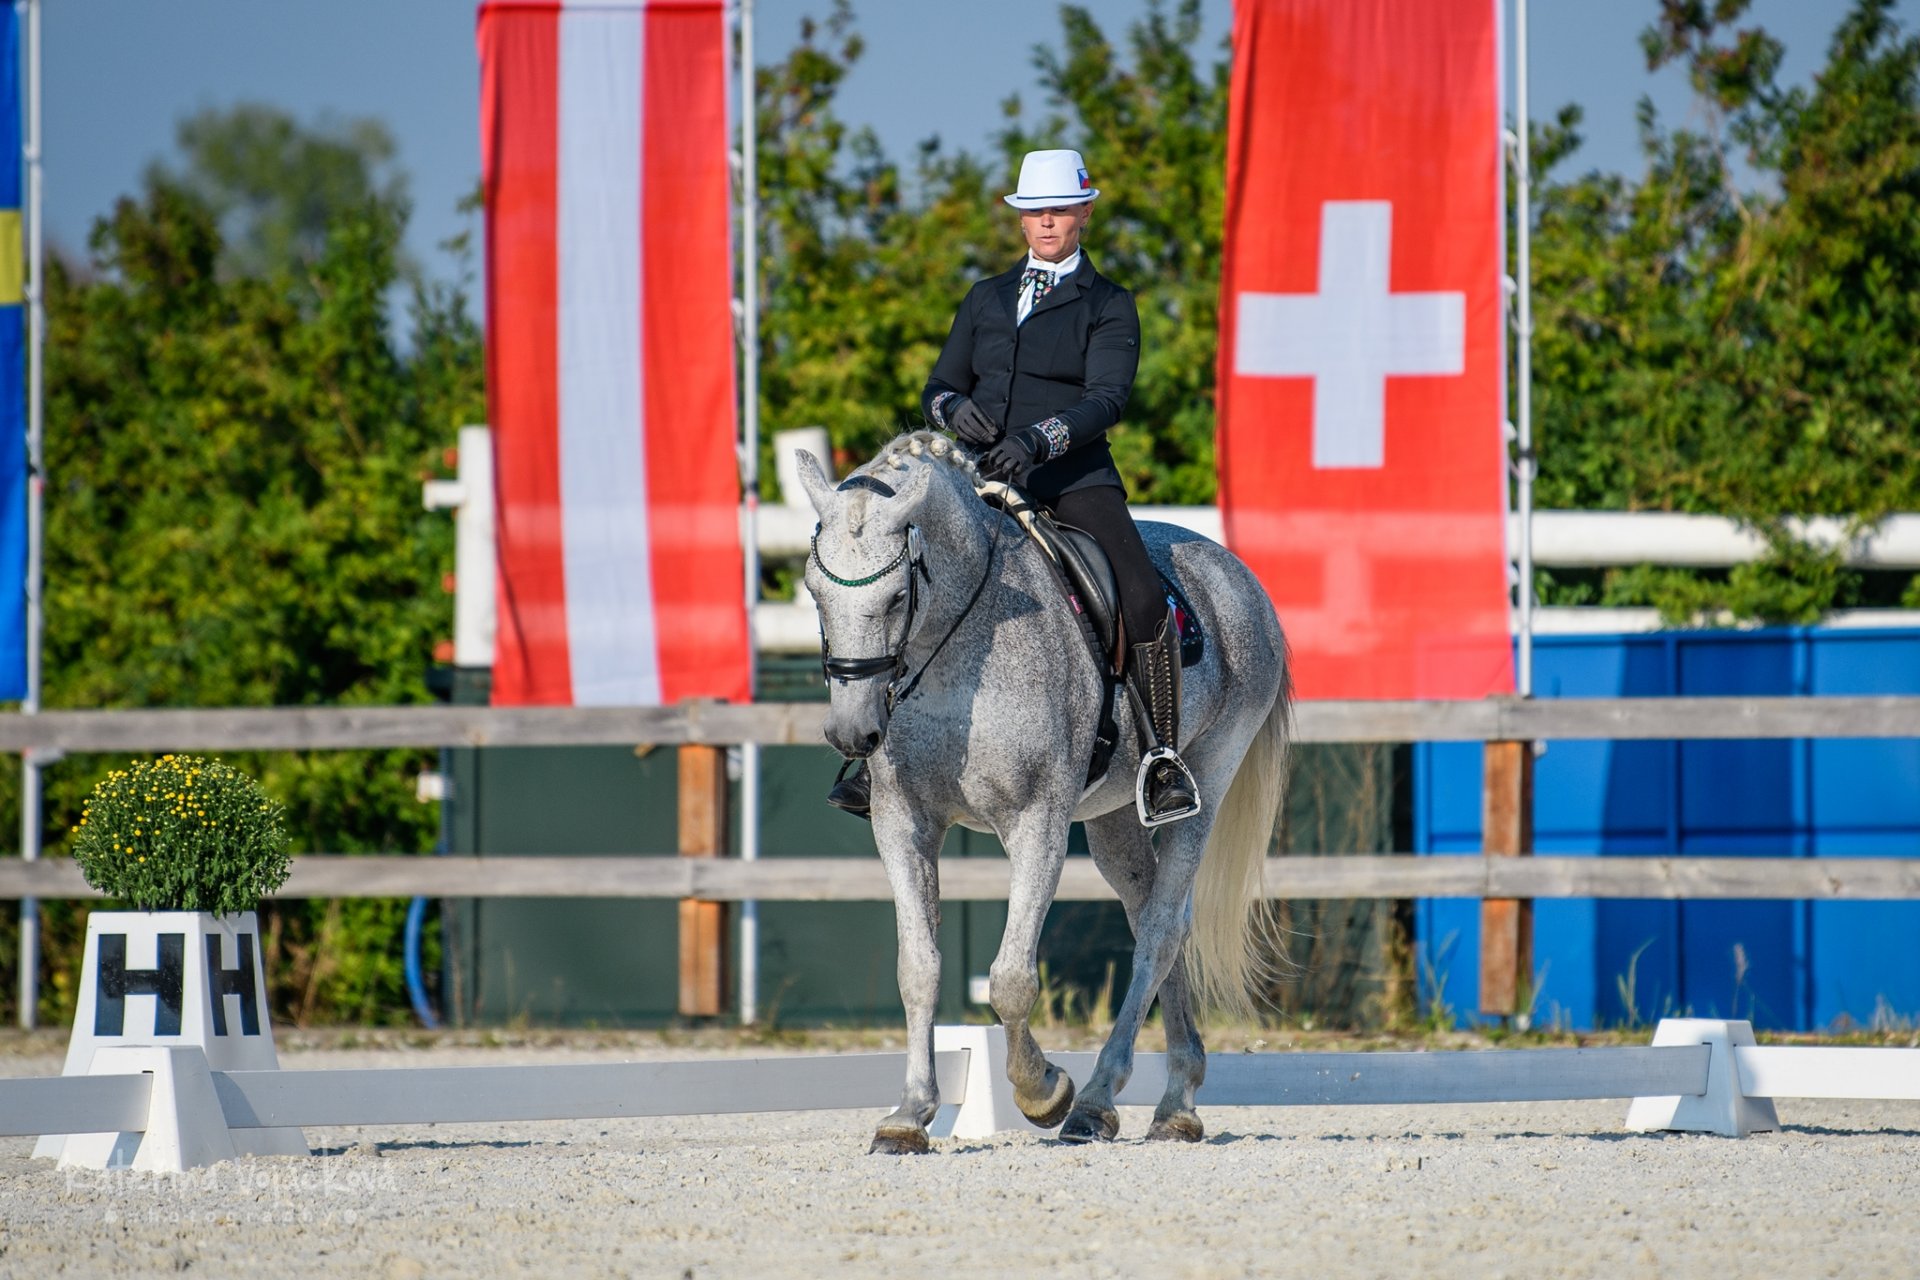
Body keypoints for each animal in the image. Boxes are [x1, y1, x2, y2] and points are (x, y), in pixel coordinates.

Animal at [794, 429, 1290, 1151]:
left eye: (893, 599)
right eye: (814, 591)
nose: (853, 732)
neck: (957, 649)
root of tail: (1235, 573)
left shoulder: (1038, 823)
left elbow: (1010, 979)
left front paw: (1041, 1091)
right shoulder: (903, 824)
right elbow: (919, 969)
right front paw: (909, 1115)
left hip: (1208, 777)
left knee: (1163, 928)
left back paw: (1103, 1102)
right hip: (1113, 818)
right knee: (1148, 916)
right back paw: (1164, 1101)